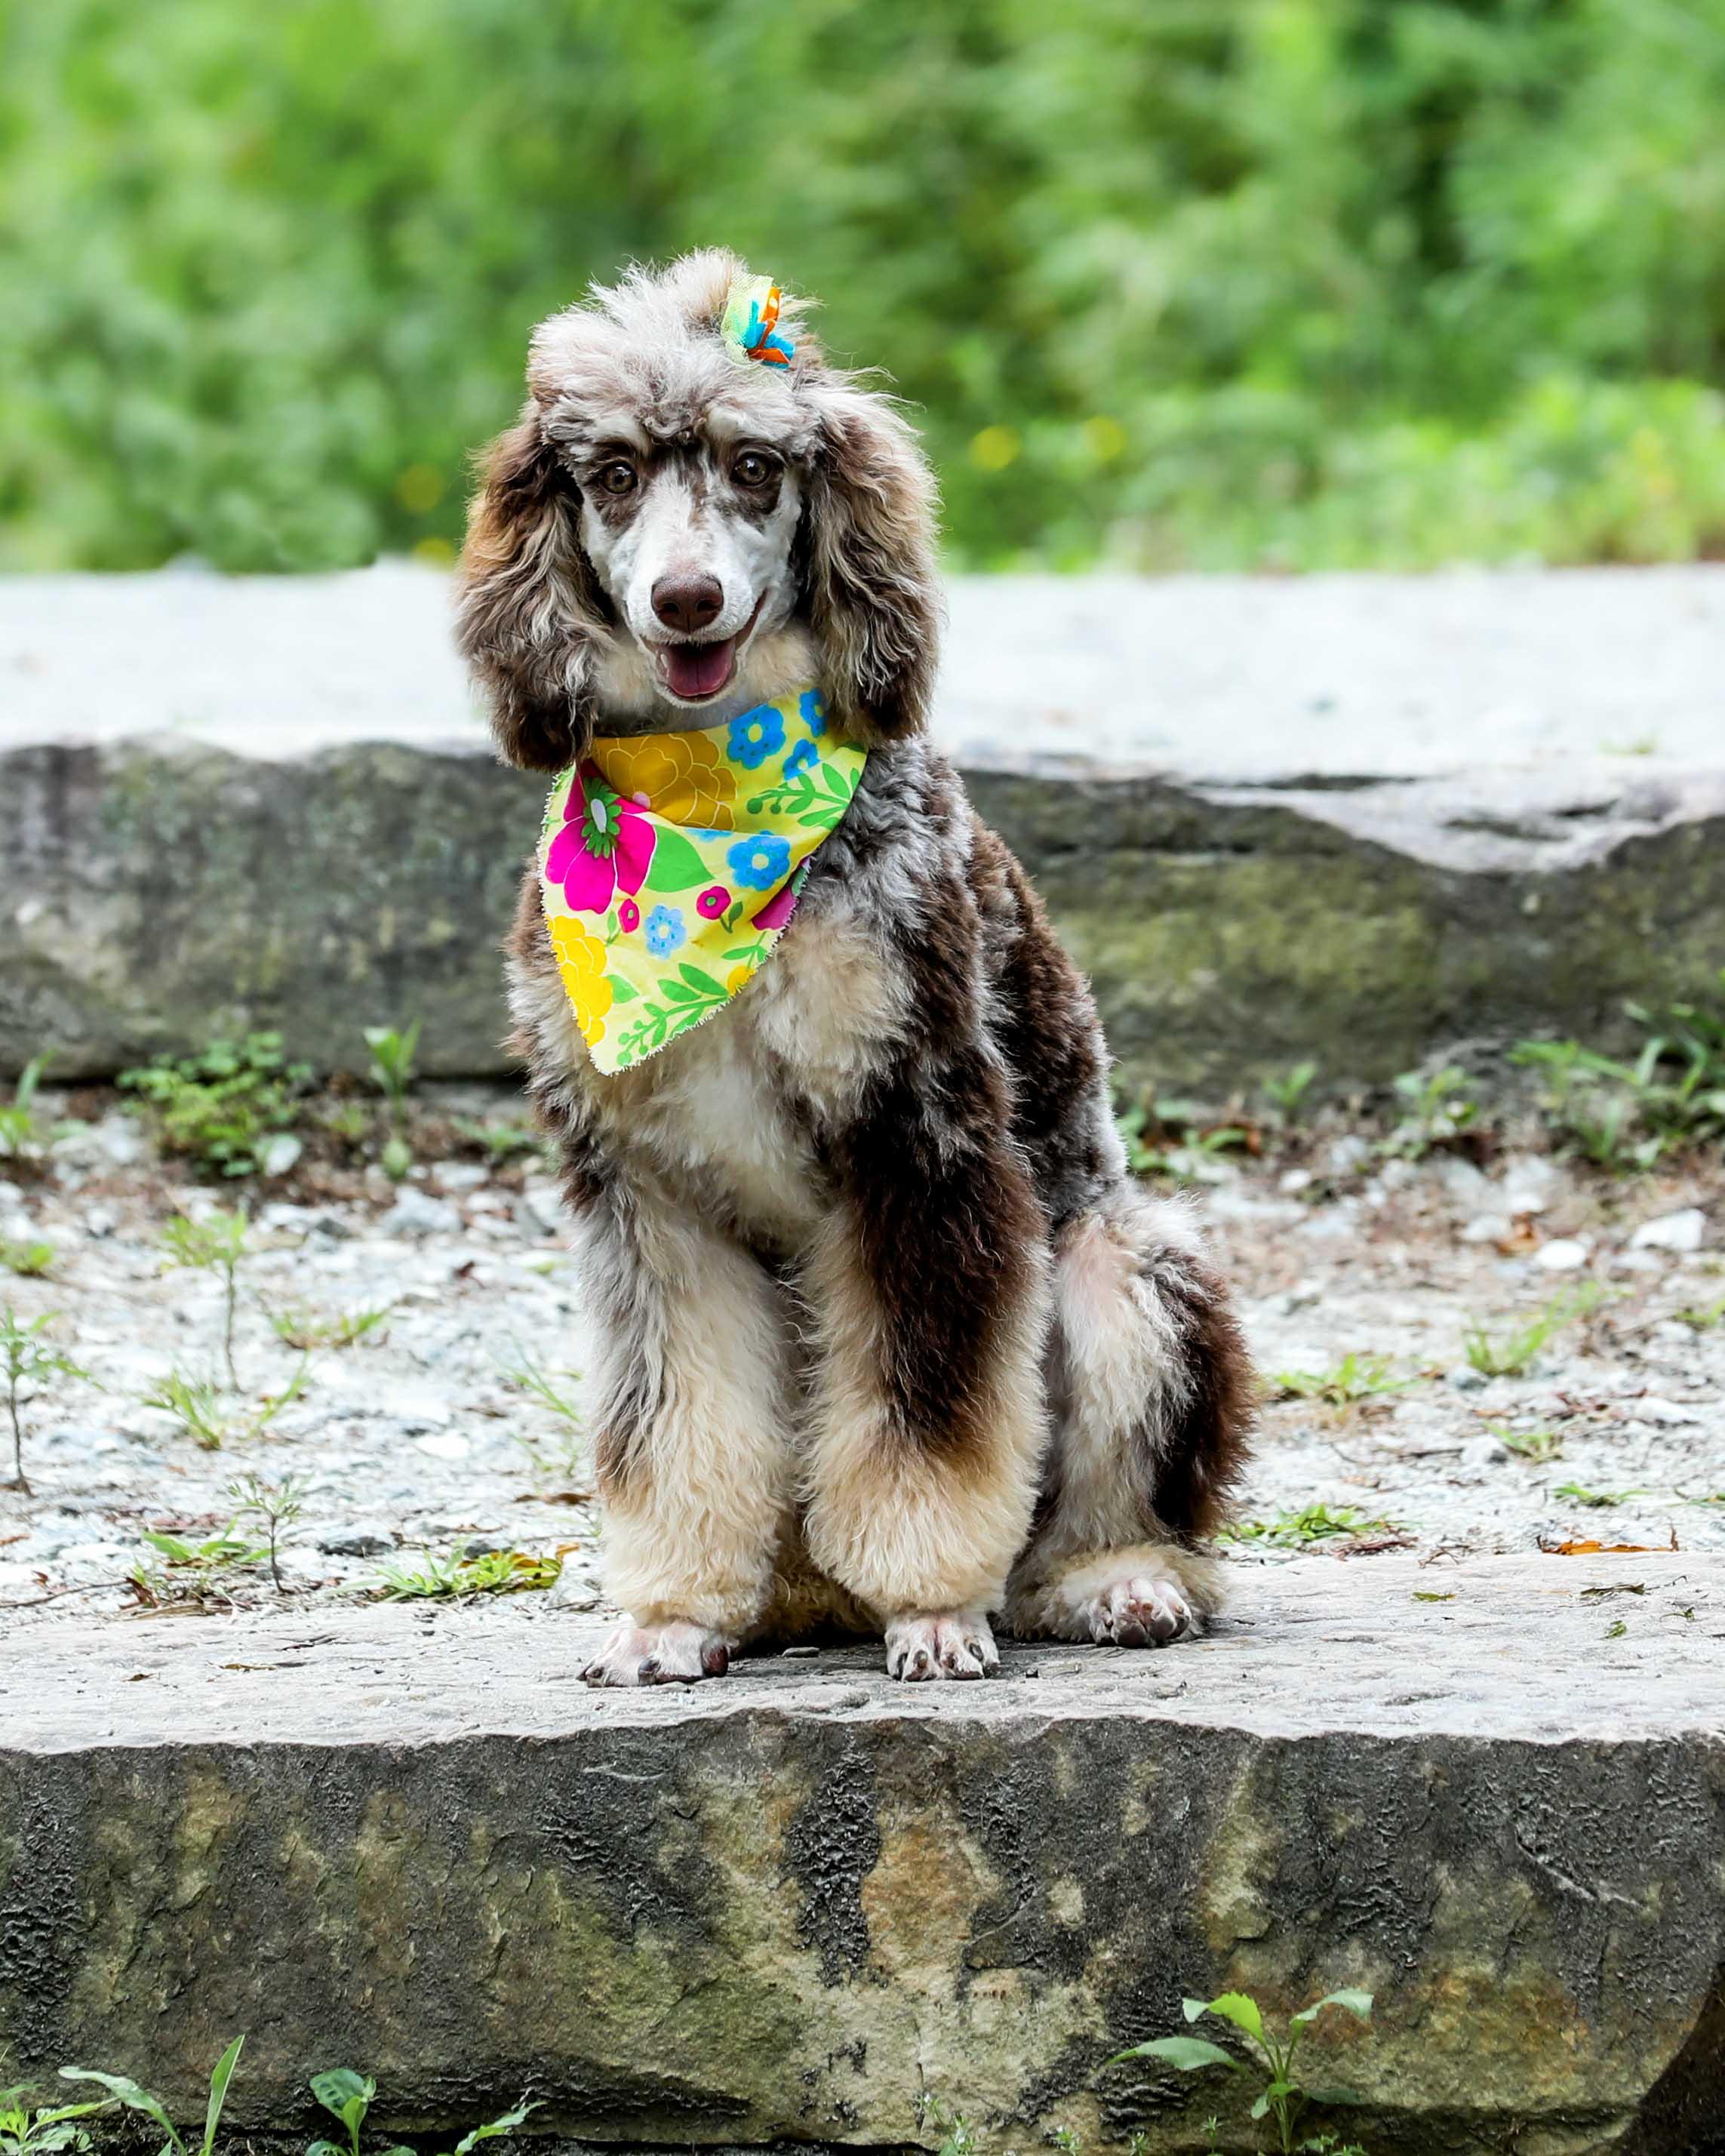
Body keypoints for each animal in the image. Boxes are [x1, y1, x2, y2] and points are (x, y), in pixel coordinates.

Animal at [455, 250, 1253, 1685]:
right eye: (613, 474)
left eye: (756, 466)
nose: (687, 600)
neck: (708, 814)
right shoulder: (645, 1194)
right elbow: (673, 1427)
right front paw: (671, 1615)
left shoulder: (919, 1136)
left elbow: (927, 1416)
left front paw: (932, 1605)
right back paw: (778, 1603)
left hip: (1129, 1266)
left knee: (1114, 1506)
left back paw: (1110, 1582)